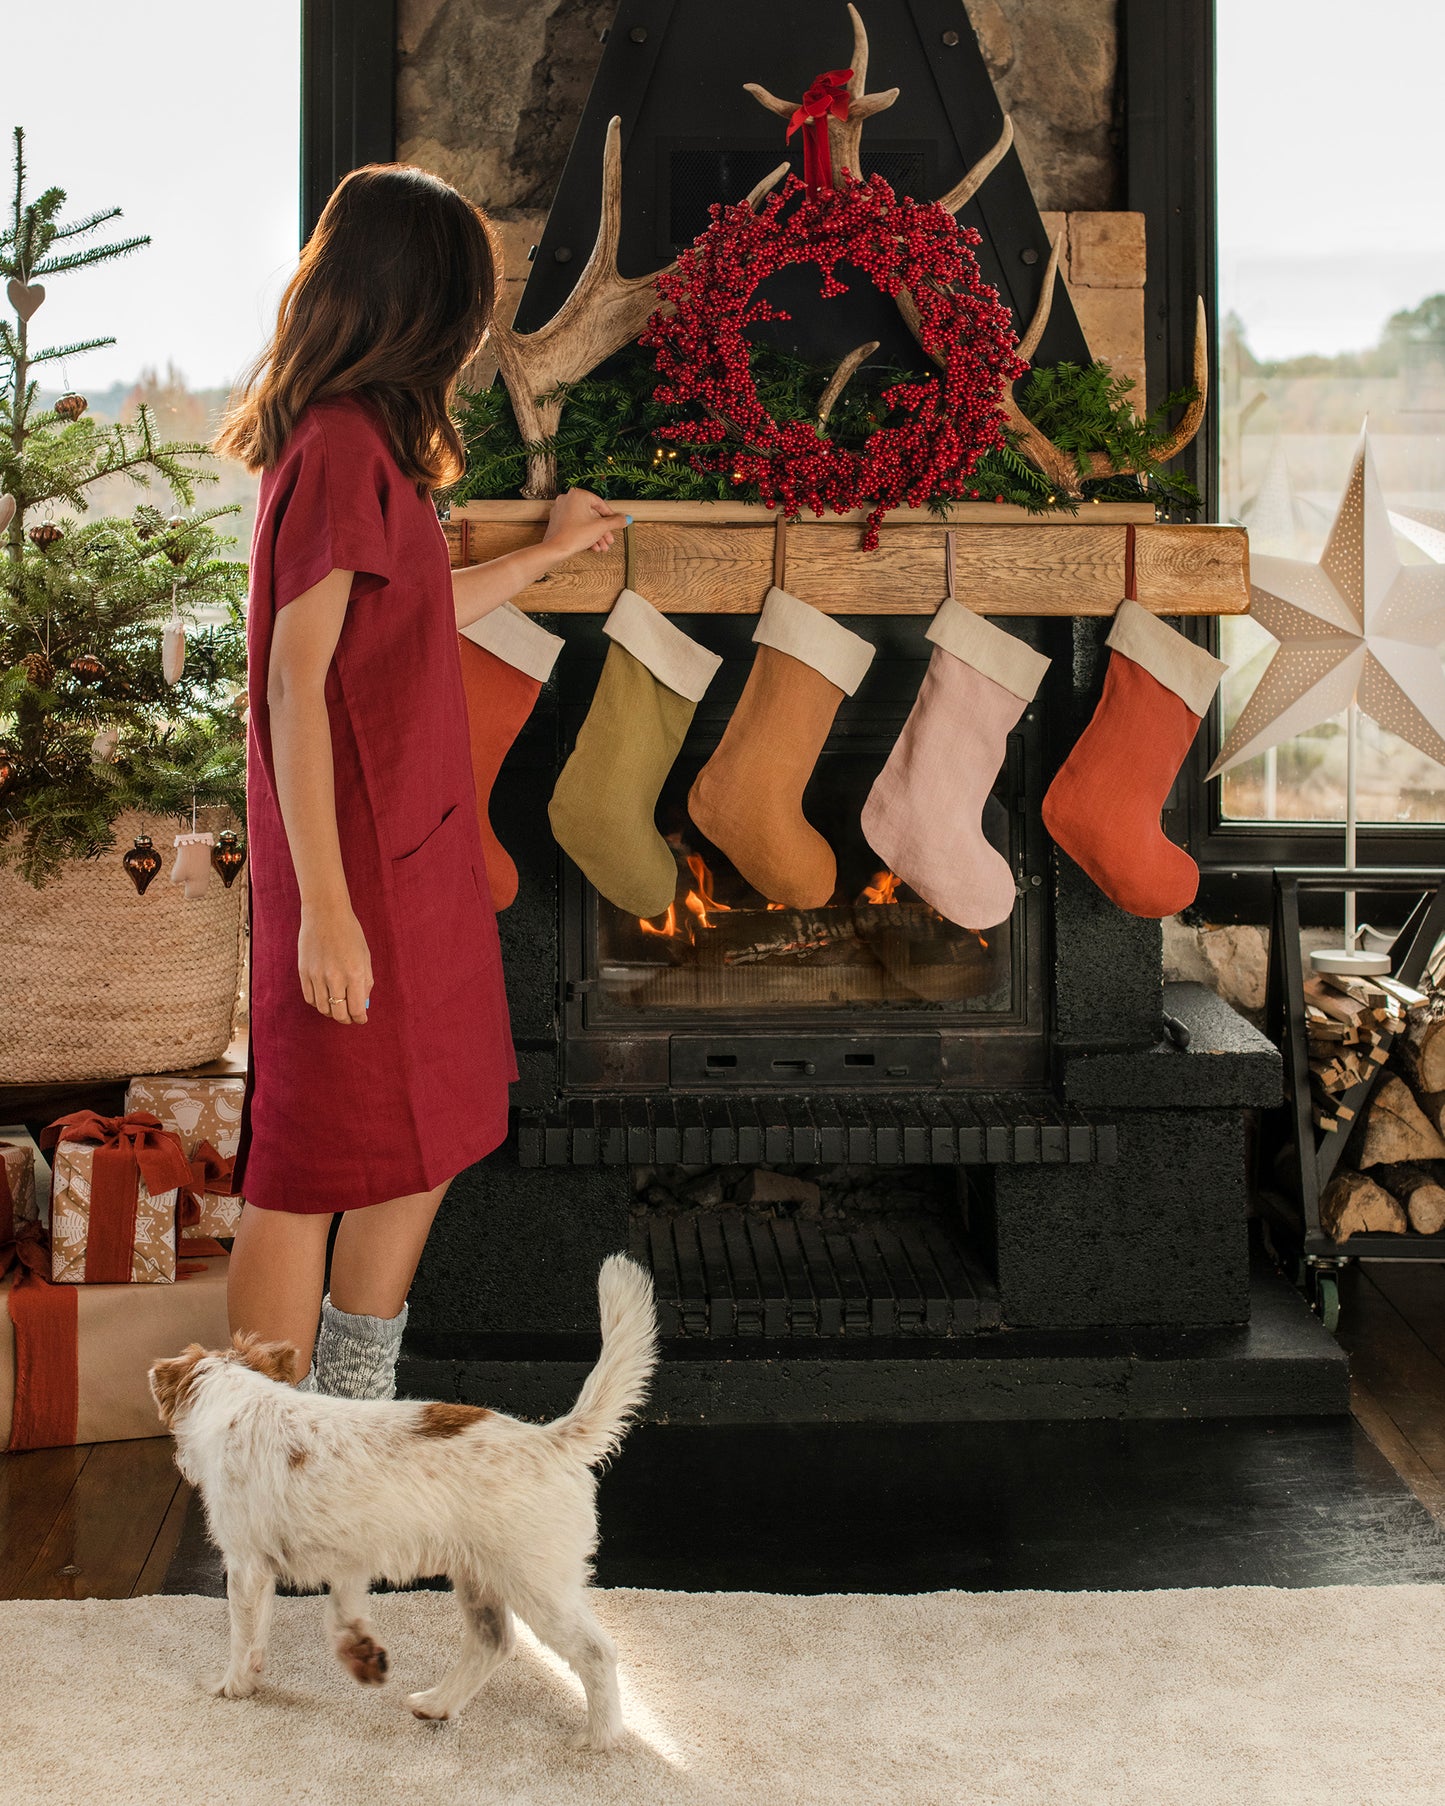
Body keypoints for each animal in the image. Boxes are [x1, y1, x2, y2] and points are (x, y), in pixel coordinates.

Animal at [149, 1249, 657, 1740]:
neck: (240, 1400)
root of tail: (551, 1441)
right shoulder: (347, 1559)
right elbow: (343, 1609)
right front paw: (360, 1652)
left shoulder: (247, 1566)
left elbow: (245, 1634)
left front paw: (233, 1686)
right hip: (480, 1578)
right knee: (493, 1643)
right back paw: (437, 1704)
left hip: (537, 1584)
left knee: (596, 1652)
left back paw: (600, 1736)